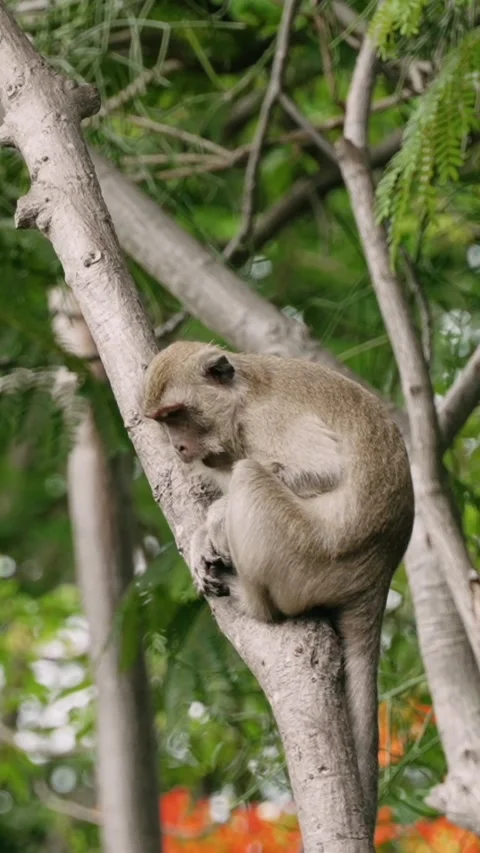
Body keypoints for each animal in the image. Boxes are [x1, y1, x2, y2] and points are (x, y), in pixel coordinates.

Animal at [143, 340, 414, 838]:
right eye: (163, 420)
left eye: (178, 414)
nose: (178, 447)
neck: (242, 399)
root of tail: (377, 574)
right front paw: (201, 538)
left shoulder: (268, 421)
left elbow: (322, 470)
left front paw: (215, 520)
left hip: (307, 554)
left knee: (252, 477)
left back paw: (250, 598)